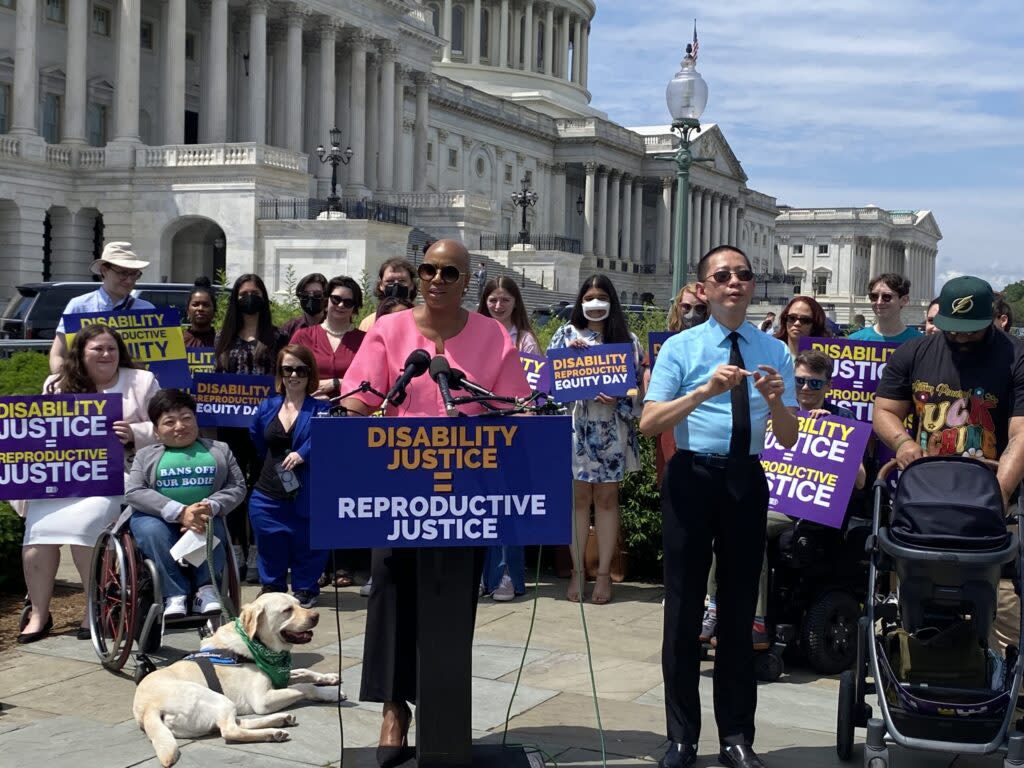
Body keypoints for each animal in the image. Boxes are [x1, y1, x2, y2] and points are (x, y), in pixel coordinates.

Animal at [133, 593, 344, 765]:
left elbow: (304, 672)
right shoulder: (262, 700)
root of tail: (147, 709)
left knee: (236, 724)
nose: (316, 616)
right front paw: (331, 693)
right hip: (215, 698)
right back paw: (271, 732)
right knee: (230, 731)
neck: (256, 645)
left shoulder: (279, 678)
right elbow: (304, 687)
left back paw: (279, 723)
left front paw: (330, 677)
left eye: (300, 604)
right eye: (287, 610)